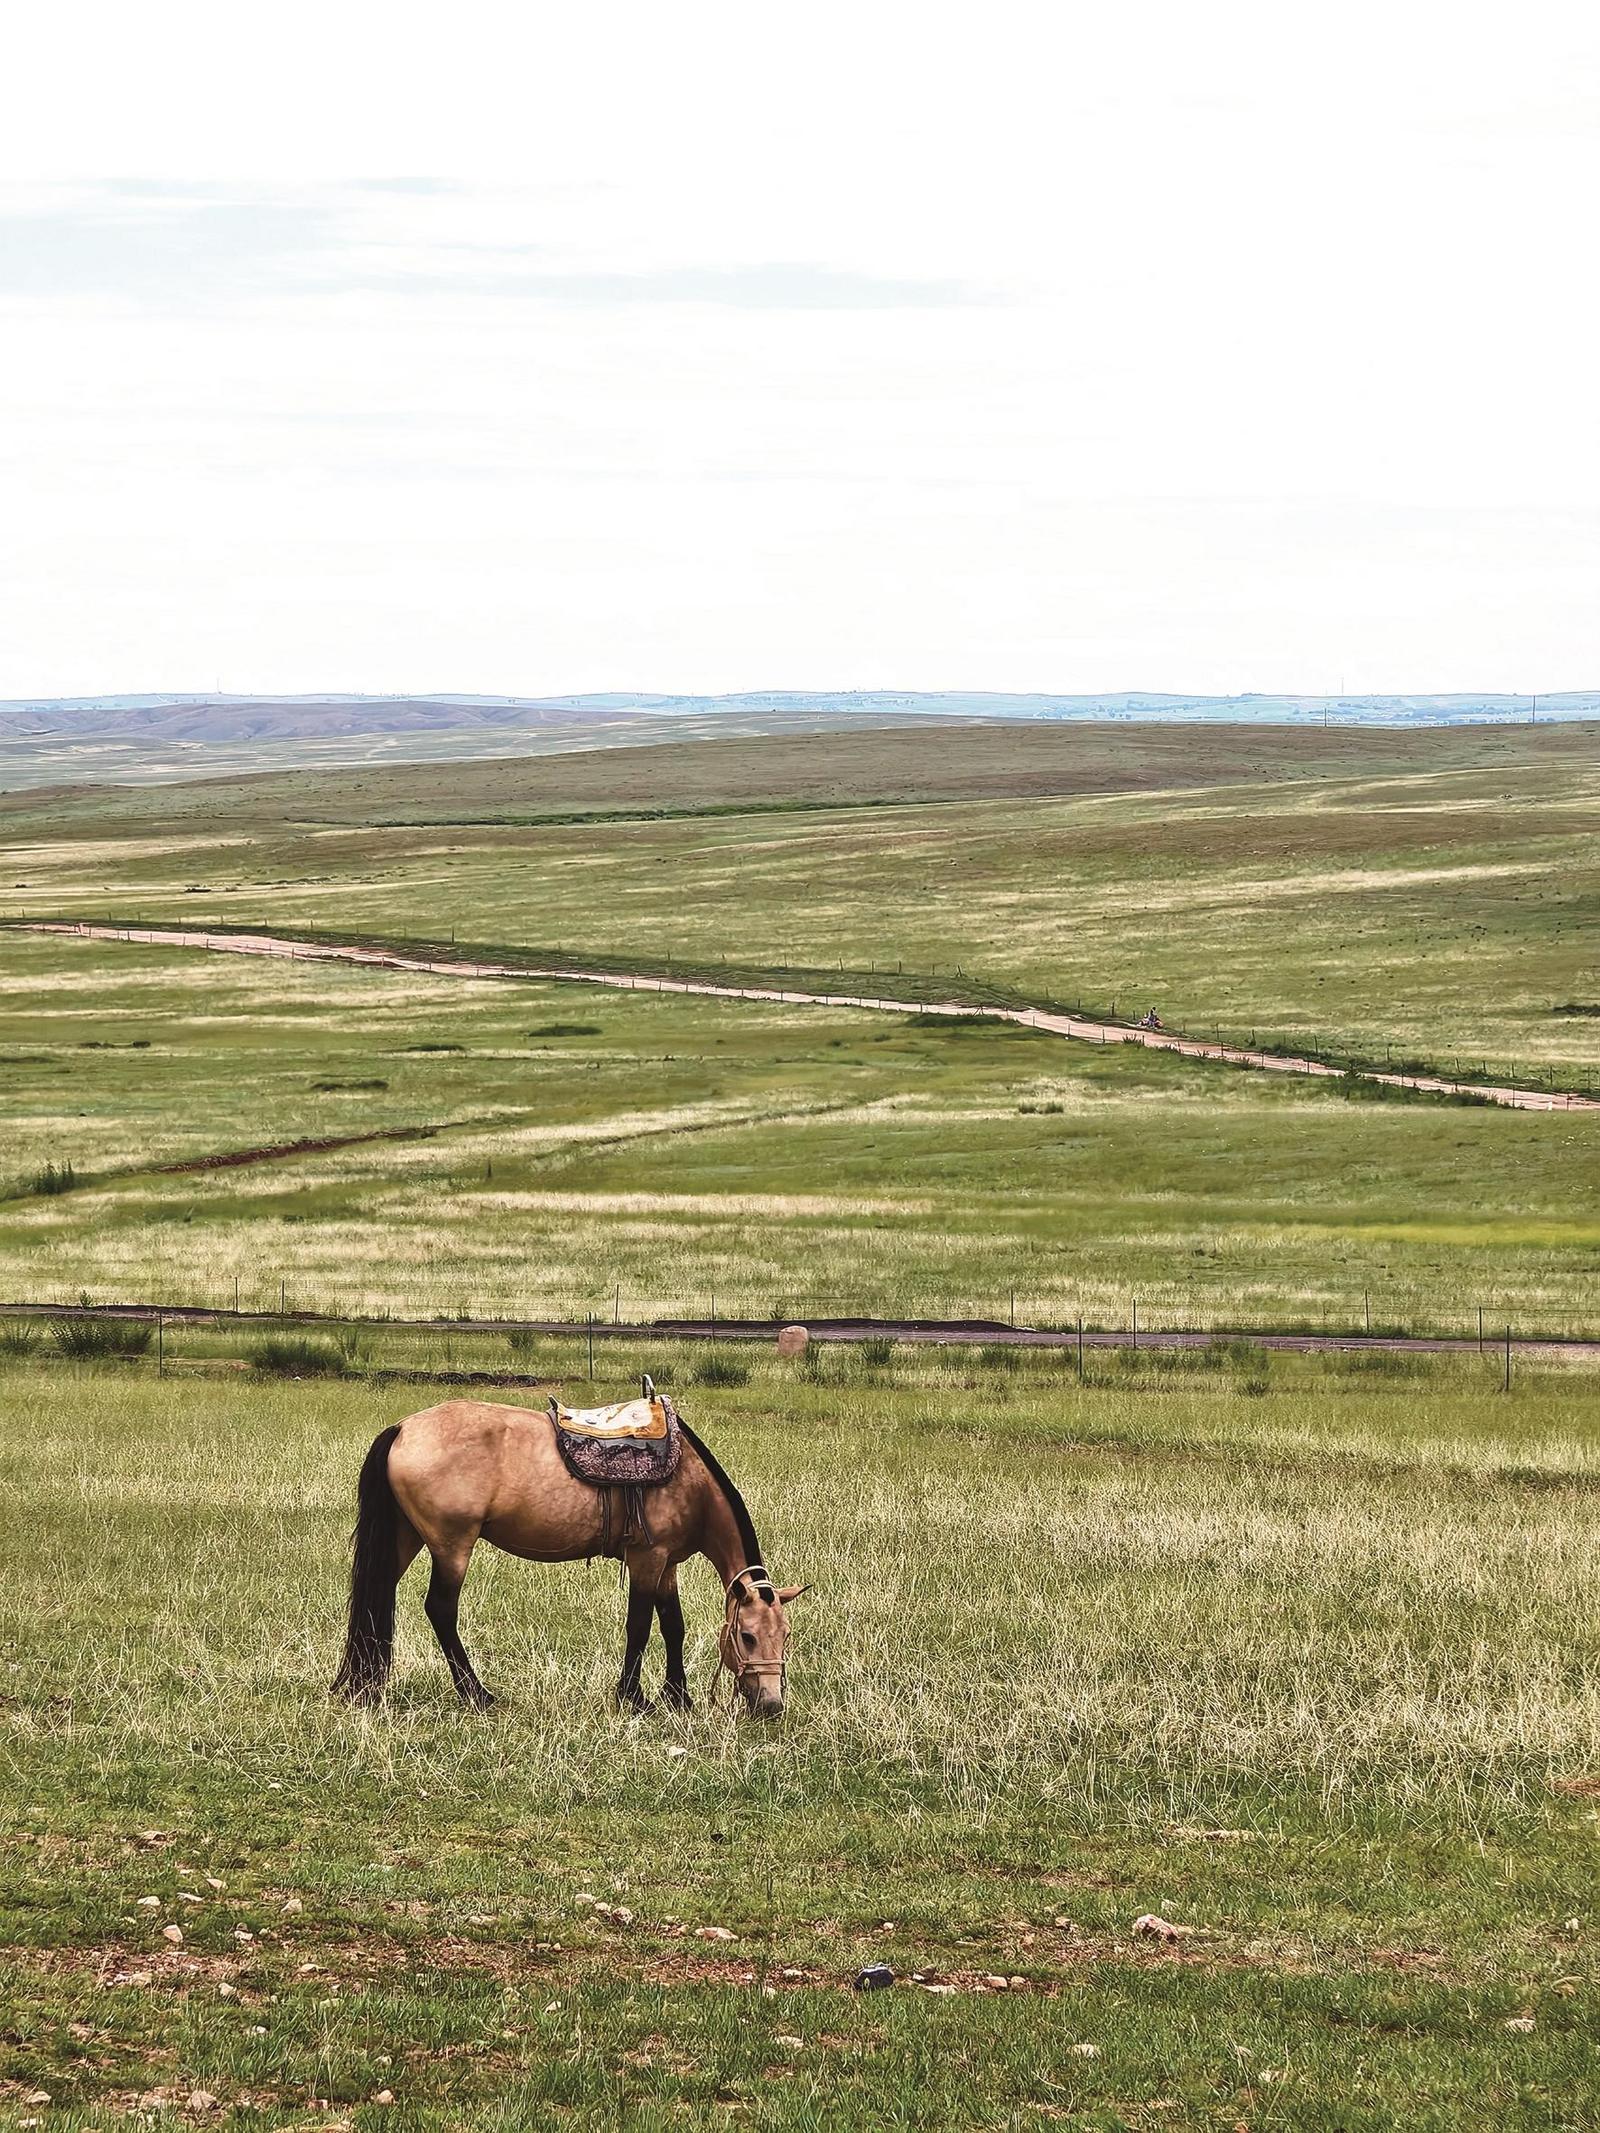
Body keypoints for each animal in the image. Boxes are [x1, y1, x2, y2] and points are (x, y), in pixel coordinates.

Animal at [330, 1394, 806, 1717]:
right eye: (747, 1636)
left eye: (784, 1636)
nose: (771, 1704)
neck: (687, 1477)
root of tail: (403, 1428)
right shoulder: (647, 1558)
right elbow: (640, 1626)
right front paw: (634, 1697)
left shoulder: (668, 1563)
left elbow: (673, 1626)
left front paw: (678, 1696)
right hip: (452, 1546)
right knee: (441, 1610)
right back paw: (476, 1693)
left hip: (406, 1538)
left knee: (377, 1597)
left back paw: (361, 1685)